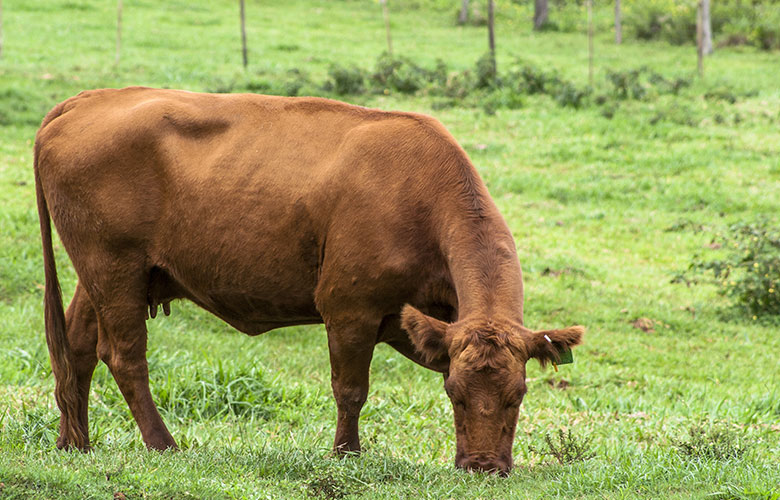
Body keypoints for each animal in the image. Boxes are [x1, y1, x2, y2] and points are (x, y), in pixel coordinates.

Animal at [34, 87, 584, 475]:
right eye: (455, 394)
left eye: (518, 395)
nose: (483, 468)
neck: (422, 200)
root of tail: (88, 99)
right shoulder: (349, 308)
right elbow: (351, 390)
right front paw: (345, 455)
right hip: (113, 267)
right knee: (124, 356)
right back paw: (163, 445)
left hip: (110, 274)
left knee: (77, 347)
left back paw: (75, 444)